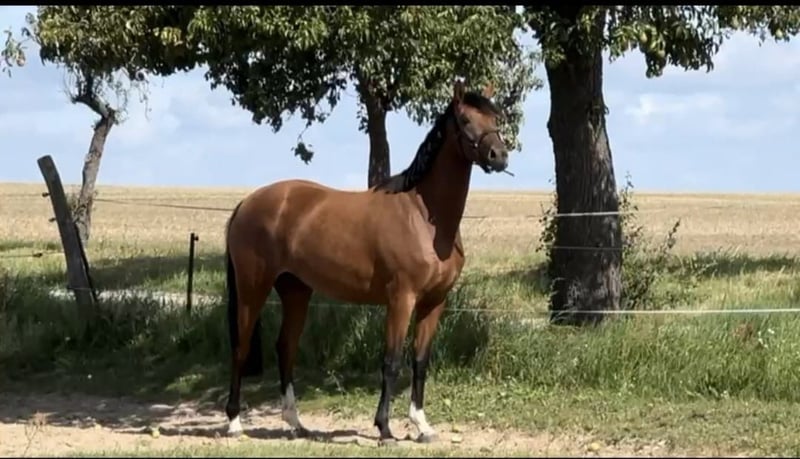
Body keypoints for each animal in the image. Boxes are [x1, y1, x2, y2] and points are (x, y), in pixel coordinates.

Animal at [223, 79, 511, 445]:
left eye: (495, 117)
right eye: (464, 120)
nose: (499, 155)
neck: (424, 218)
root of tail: (247, 203)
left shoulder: (434, 302)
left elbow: (420, 360)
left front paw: (422, 426)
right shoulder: (401, 299)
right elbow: (391, 361)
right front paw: (385, 428)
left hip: (296, 290)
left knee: (285, 347)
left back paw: (296, 423)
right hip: (253, 287)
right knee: (241, 347)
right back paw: (234, 422)